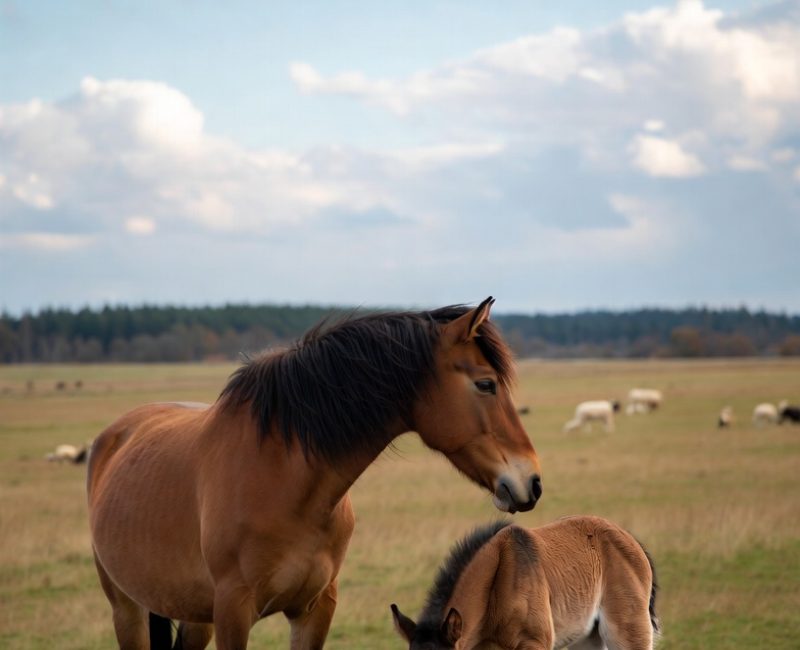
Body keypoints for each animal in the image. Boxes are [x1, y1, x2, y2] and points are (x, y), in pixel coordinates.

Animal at [87, 298, 543, 650]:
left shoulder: (315, 610)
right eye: (486, 384)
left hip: (193, 615)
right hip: (127, 608)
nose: (532, 482)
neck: (283, 480)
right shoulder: (233, 611)